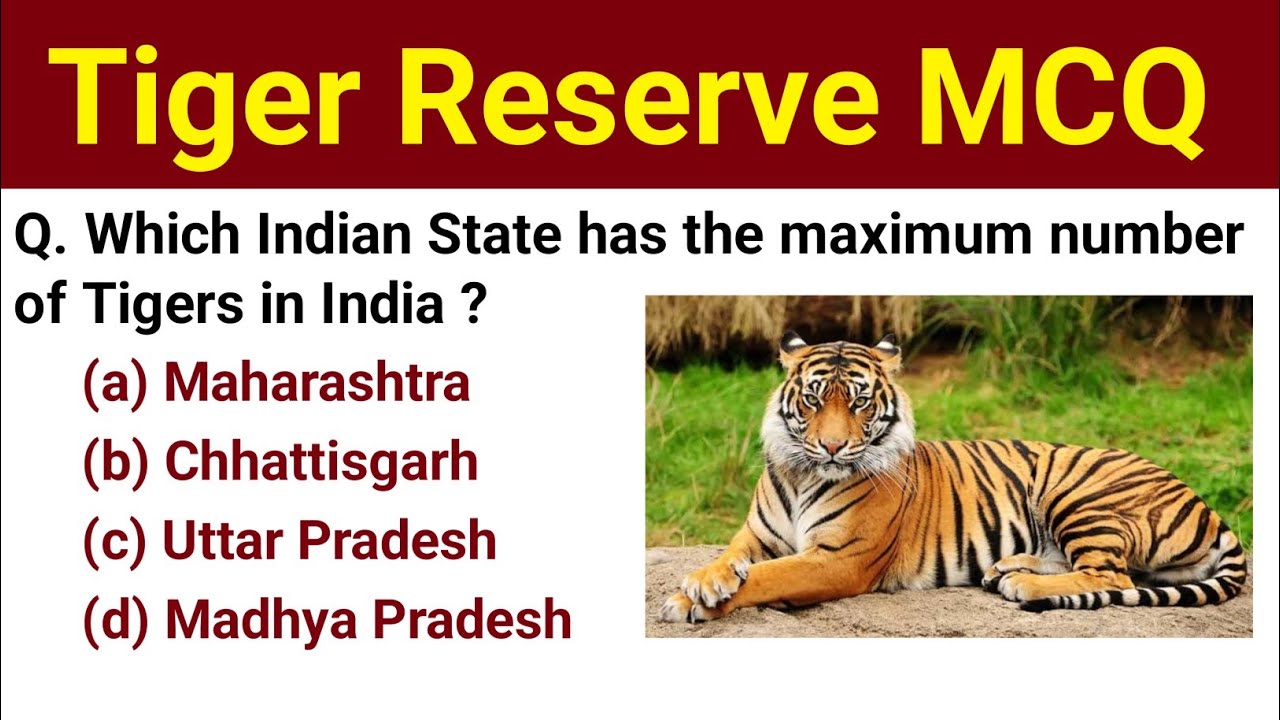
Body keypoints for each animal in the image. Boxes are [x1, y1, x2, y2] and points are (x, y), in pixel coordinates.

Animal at [659, 332, 1248, 622]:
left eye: (860, 402)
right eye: (813, 399)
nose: (832, 446)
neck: (805, 474)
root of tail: (1204, 503)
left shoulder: (839, 559)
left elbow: (768, 577)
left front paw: (692, 602)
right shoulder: (755, 536)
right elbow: (731, 560)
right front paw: (702, 583)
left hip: (1079, 493)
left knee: (1113, 576)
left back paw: (1023, 583)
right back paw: (1007, 568)